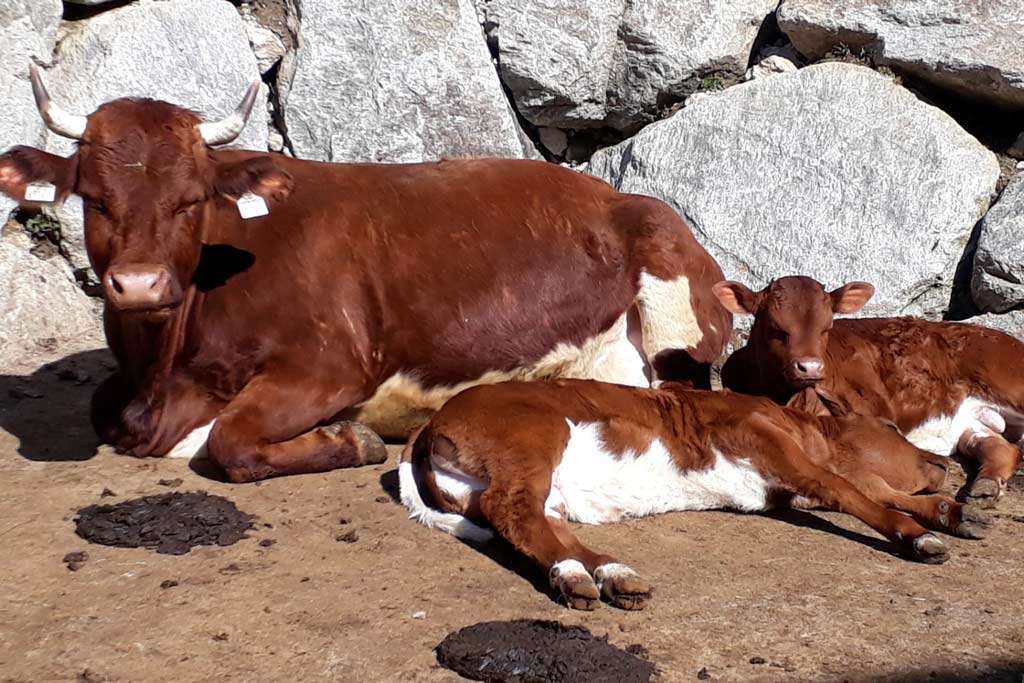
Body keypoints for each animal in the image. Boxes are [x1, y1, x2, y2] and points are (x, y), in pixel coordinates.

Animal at [0, 66, 731, 482]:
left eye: (191, 200)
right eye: (94, 198)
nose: (140, 284)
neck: (163, 372)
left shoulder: (330, 366)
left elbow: (232, 441)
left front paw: (352, 439)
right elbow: (102, 411)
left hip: (668, 286)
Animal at [399, 379, 992, 610]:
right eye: (890, 429)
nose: (944, 463)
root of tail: (434, 418)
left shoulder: (787, 485)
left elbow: (863, 488)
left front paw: (953, 512)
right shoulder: (771, 447)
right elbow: (851, 489)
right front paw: (917, 536)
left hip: (546, 489)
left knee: (546, 528)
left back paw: (610, 575)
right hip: (534, 442)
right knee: (513, 513)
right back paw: (577, 577)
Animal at [714, 276, 1024, 506]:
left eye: (826, 327)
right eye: (776, 328)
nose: (810, 367)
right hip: (969, 420)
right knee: (1001, 448)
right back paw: (985, 486)